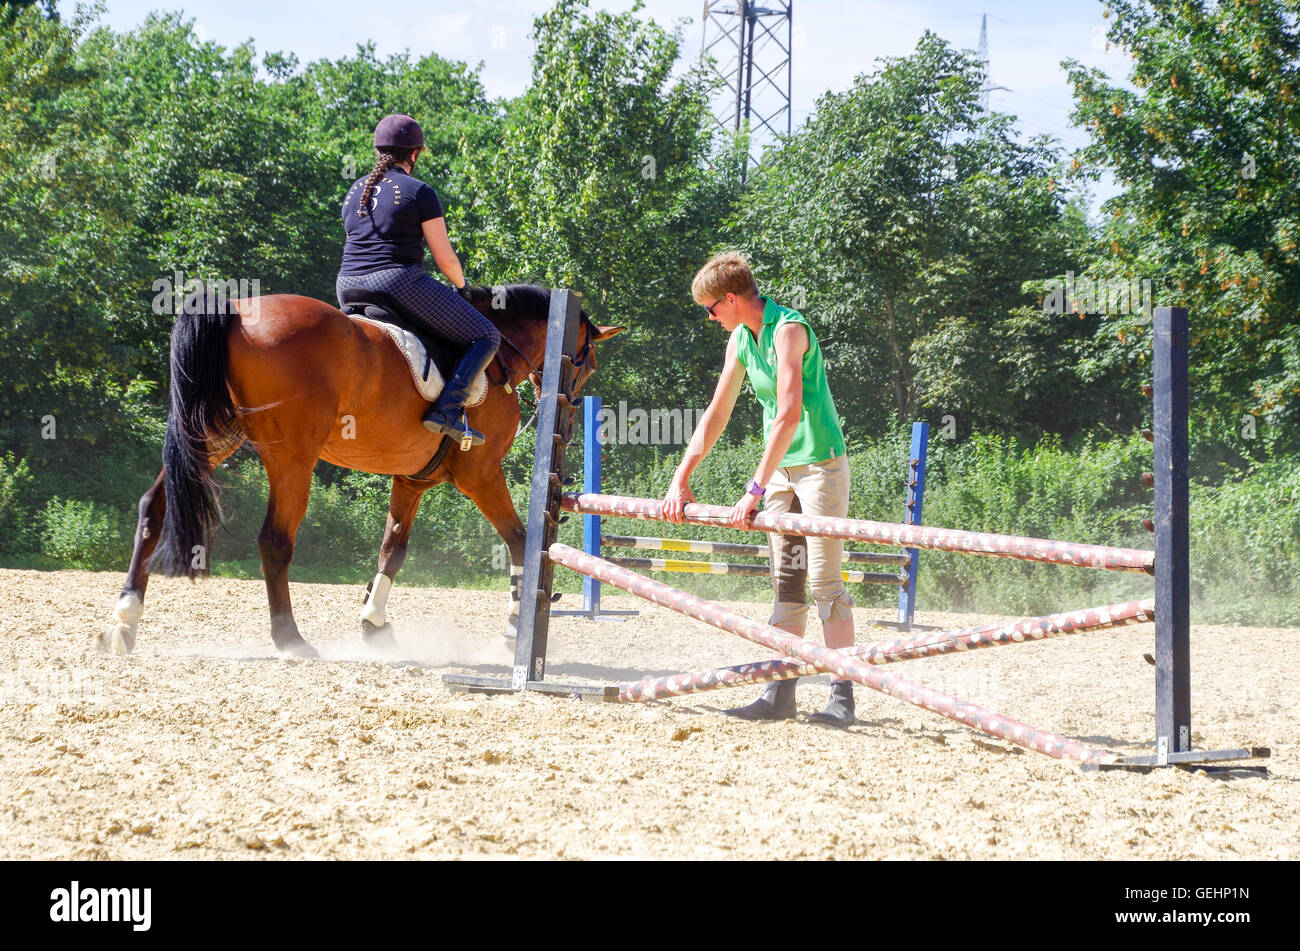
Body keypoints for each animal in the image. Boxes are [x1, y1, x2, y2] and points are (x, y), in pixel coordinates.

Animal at [101, 284, 623, 658]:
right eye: (590, 362)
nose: (568, 425)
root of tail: (235, 306)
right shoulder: (480, 475)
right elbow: (519, 541)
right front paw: (516, 626)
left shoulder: (413, 478)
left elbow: (393, 550)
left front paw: (374, 623)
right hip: (292, 457)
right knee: (274, 540)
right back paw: (291, 640)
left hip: (211, 439)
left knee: (153, 510)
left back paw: (124, 620)